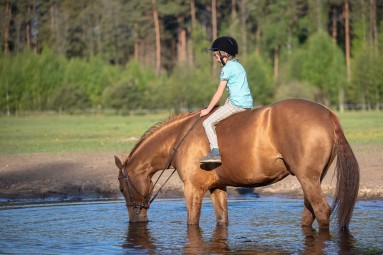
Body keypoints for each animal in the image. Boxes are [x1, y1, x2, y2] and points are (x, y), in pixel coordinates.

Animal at [114, 98, 360, 230]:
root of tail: (328, 115)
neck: (179, 137)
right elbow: (222, 219)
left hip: (308, 178)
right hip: (310, 179)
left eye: (122, 188)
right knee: (309, 213)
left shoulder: (192, 189)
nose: (135, 220)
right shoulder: (217, 187)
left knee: (321, 210)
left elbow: (192, 223)